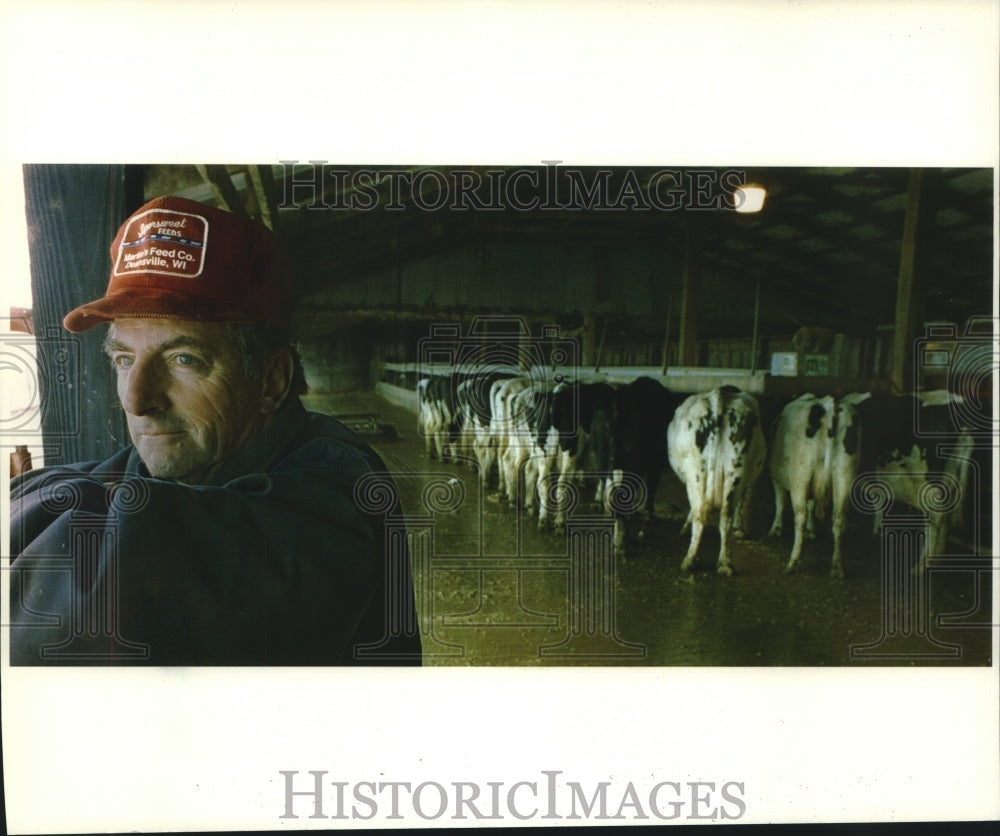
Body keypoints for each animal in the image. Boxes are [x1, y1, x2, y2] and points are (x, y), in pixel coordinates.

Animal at [668, 386, 768, 576]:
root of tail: (720, 399)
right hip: (735, 469)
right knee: (725, 515)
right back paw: (725, 563)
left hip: (695, 473)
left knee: (700, 513)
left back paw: (691, 559)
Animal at [768, 396, 864, 580]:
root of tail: (829, 403)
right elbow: (810, 505)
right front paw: (811, 530)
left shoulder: (777, 478)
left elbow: (780, 503)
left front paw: (775, 529)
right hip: (844, 476)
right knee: (839, 521)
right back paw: (837, 567)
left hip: (800, 476)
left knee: (800, 516)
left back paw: (793, 561)